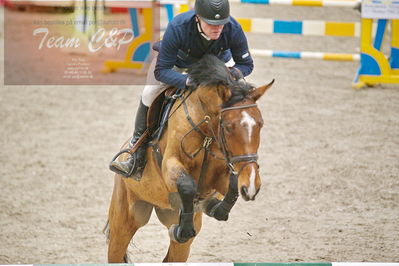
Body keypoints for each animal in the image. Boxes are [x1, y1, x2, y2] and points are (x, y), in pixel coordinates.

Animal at [105, 54, 276, 262]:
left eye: (260, 124)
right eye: (227, 127)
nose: (251, 185)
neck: (208, 131)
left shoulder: (219, 177)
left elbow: (233, 185)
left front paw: (215, 207)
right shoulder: (170, 167)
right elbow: (186, 185)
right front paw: (185, 228)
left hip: (169, 218)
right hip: (125, 221)